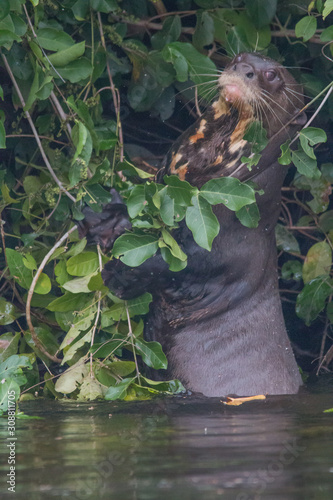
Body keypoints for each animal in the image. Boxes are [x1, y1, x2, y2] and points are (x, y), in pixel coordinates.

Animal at [80, 52, 306, 396]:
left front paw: (119, 275)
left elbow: (173, 267)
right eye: (239, 56)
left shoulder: (222, 250)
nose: (245, 68)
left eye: (272, 75)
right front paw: (104, 220)